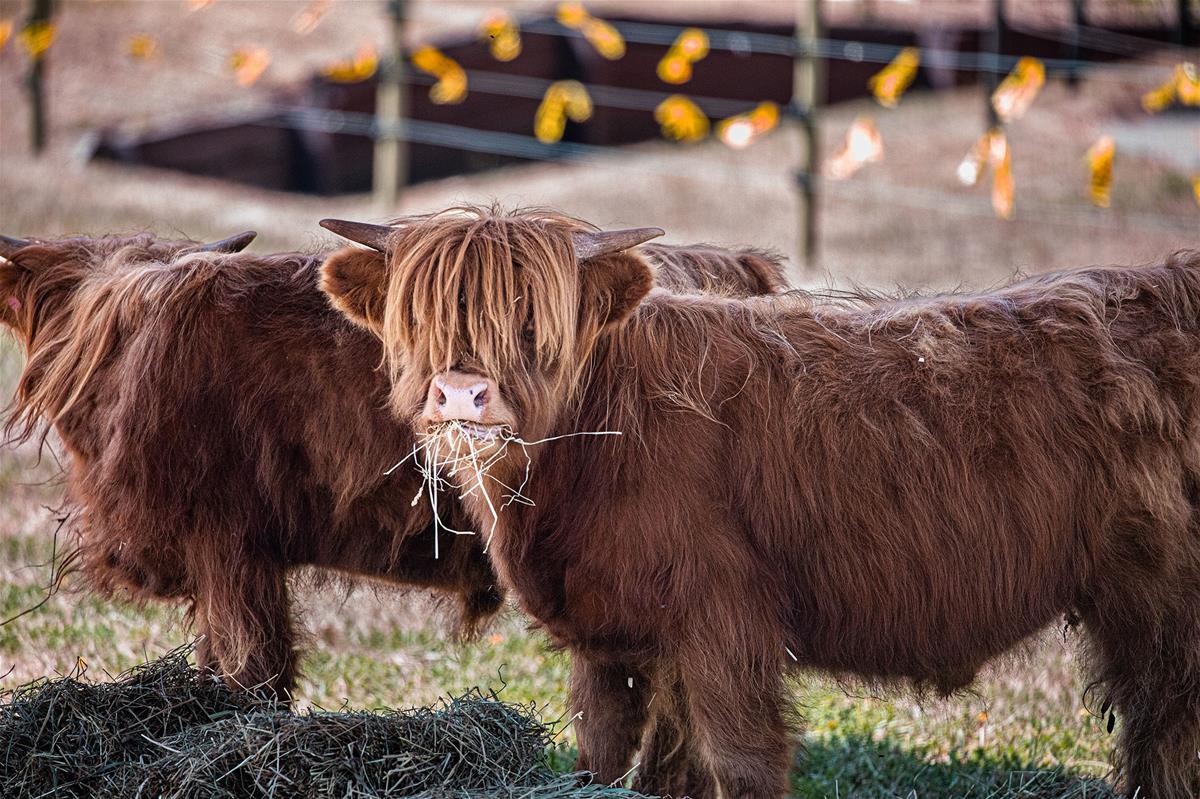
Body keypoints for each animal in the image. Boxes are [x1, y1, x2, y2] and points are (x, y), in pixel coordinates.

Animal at [320, 206, 1200, 799]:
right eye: (416, 317)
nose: (461, 393)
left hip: (1163, 602)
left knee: (1165, 726)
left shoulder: (725, 623)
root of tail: (1166, 285)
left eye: (534, 320)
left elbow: (738, 762)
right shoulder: (616, 638)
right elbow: (612, 759)